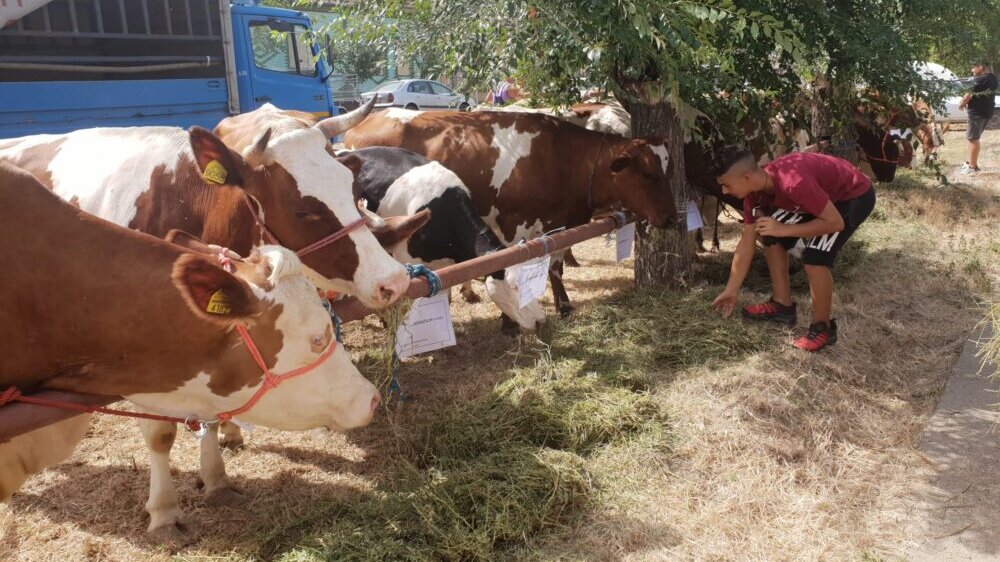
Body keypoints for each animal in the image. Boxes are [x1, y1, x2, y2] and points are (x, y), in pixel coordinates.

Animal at [344, 109, 680, 320]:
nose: (672, 218)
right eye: (648, 174)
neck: (563, 160)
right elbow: (503, 264)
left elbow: (555, 266)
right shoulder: (512, 224)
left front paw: (564, 305)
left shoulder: (559, 226)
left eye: (669, 170)